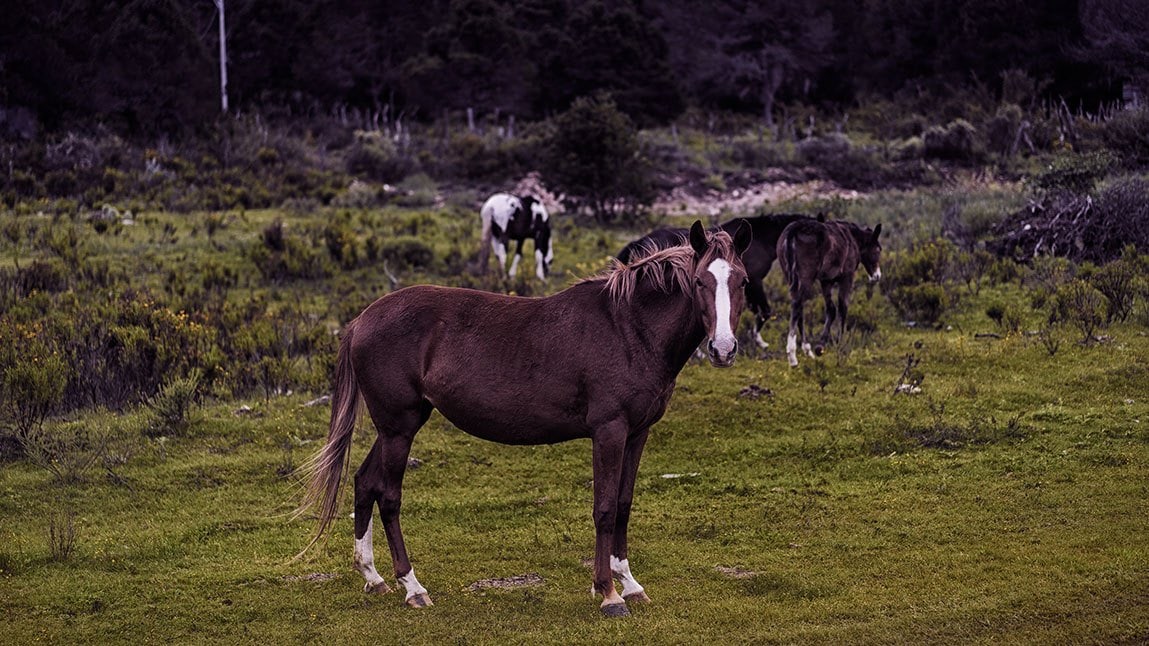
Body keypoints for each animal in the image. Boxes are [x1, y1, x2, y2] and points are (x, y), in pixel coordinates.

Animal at [297, 220, 753, 617]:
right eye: (699, 282)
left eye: (742, 281)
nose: (723, 349)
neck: (629, 329)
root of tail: (361, 319)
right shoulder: (609, 431)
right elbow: (604, 507)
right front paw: (608, 594)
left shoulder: (637, 433)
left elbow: (623, 504)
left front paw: (631, 585)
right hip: (399, 429)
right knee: (388, 496)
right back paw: (413, 587)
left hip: (398, 426)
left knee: (364, 482)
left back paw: (373, 577)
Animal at [776, 218, 882, 367]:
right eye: (878, 250)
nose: (877, 276)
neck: (853, 238)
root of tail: (793, 230)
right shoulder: (847, 277)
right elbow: (842, 308)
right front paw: (840, 345)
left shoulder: (826, 281)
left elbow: (831, 309)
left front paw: (820, 347)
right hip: (806, 277)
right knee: (797, 304)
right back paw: (792, 356)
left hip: (790, 276)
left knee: (799, 307)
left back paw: (807, 350)